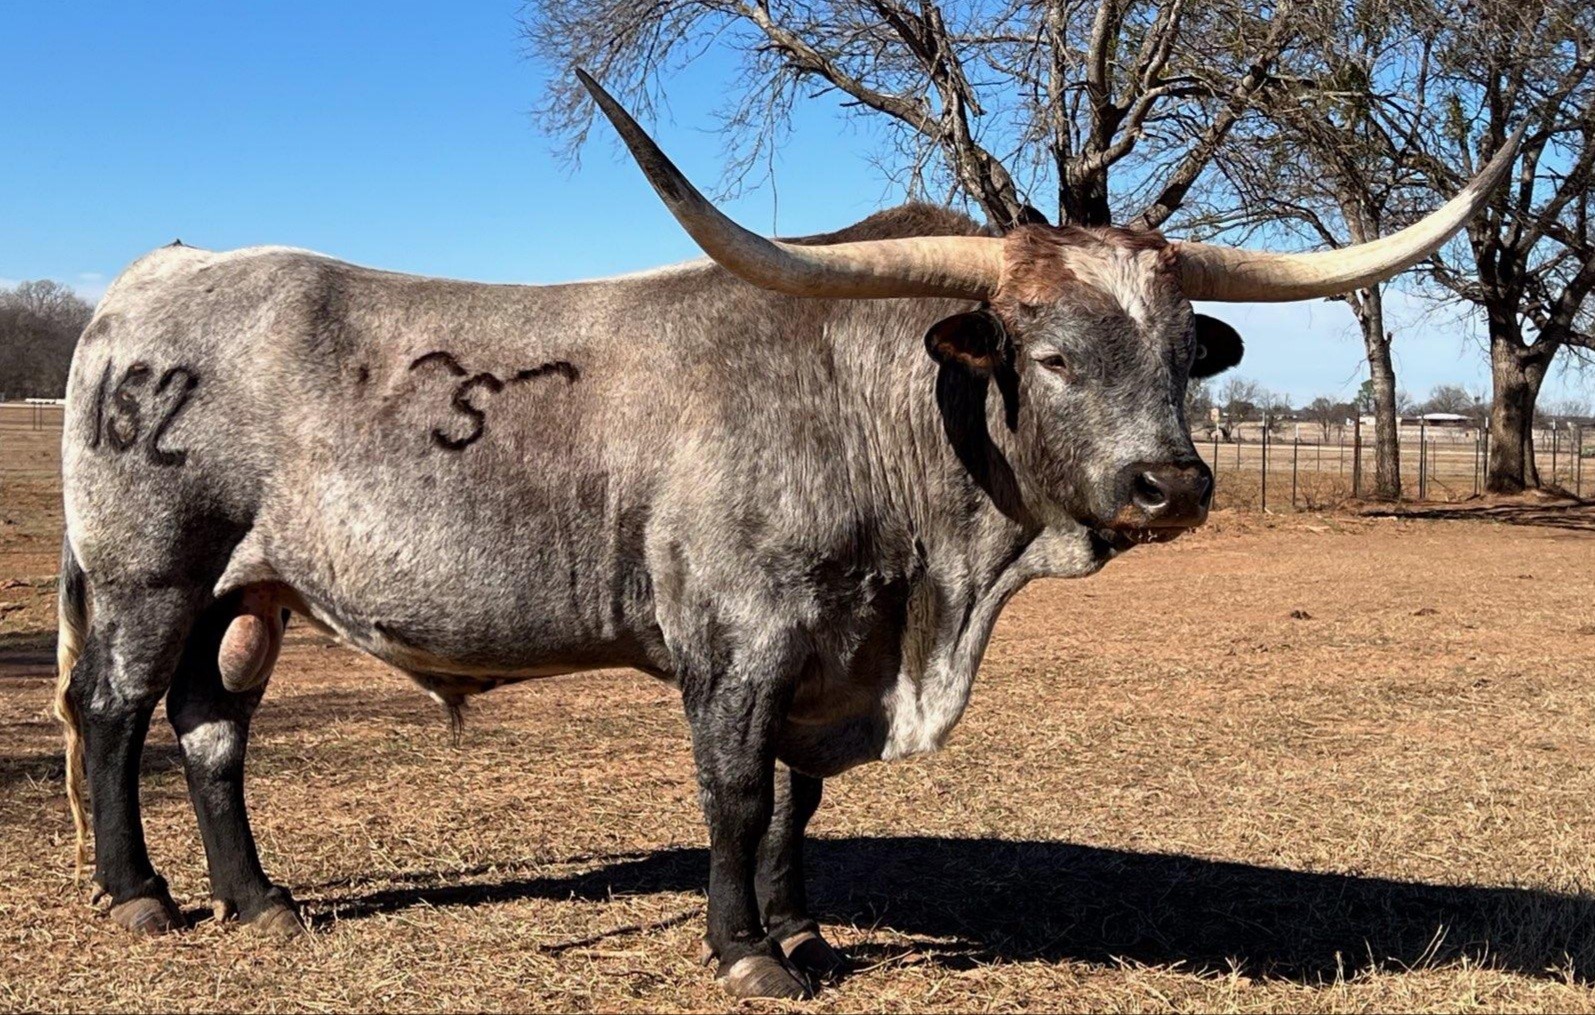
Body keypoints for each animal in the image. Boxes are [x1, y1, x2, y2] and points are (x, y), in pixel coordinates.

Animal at [52, 71, 1518, 999]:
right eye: (1046, 354)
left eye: (1178, 353)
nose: (1170, 483)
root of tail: (152, 279)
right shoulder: (739, 638)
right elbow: (737, 785)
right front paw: (745, 947)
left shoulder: (835, 643)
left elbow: (799, 796)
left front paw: (806, 926)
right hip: (148, 569)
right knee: (115, 711)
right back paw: (139, 893)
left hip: (250, 590)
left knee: (211, 725)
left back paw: (260, 900)